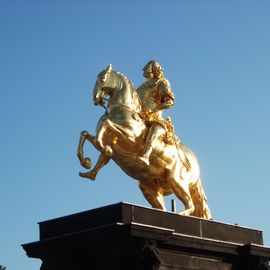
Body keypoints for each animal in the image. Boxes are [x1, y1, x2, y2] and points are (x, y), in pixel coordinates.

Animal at [77, 65, 212, 219]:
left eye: (103, 78)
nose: (95, 98)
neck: (120, 110)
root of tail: (196, 166)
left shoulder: (130, 136)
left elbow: (106, 125)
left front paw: (101, 147)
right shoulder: (109, 140)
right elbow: (85, 134)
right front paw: (86, 163)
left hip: (176, 181)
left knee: (190, 206)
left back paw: (175, 215)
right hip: (149, 187)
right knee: (165, 207)